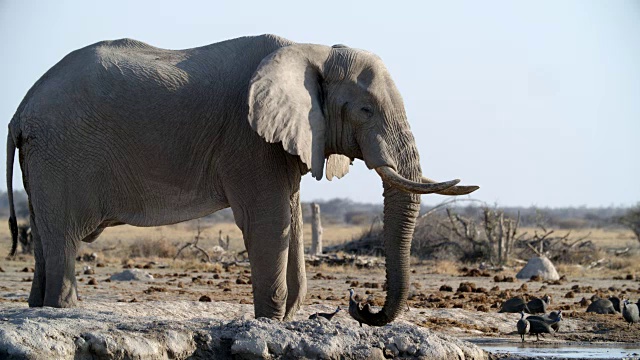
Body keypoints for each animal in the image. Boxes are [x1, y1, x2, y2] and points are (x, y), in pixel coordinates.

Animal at [5, 33, 476, 326]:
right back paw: (61, 310)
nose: (358, 302)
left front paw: (286, 319)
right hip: (60, 153)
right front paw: (270, 321)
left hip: (43, 157)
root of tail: (20, 110)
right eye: (365, 110)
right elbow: (269, 221)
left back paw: (38, 307)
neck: (313, 49)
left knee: (45, 236)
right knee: (63, 236)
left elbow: (290, 216)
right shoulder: (248, 139)